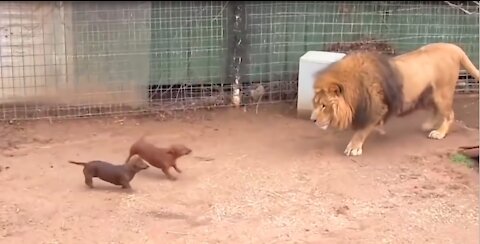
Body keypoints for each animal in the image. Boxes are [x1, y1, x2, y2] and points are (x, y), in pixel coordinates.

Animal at [310, 42, 478, 156]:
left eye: (324, 105)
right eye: (316, 104)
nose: (312, 120)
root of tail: (454, 47)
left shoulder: (377, 107)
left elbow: (362, 130)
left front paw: (354, 147)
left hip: (442, 91)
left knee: (449, 114)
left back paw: (440, 133)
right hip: (429, 93)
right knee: (436, 109)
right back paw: (429, 125)